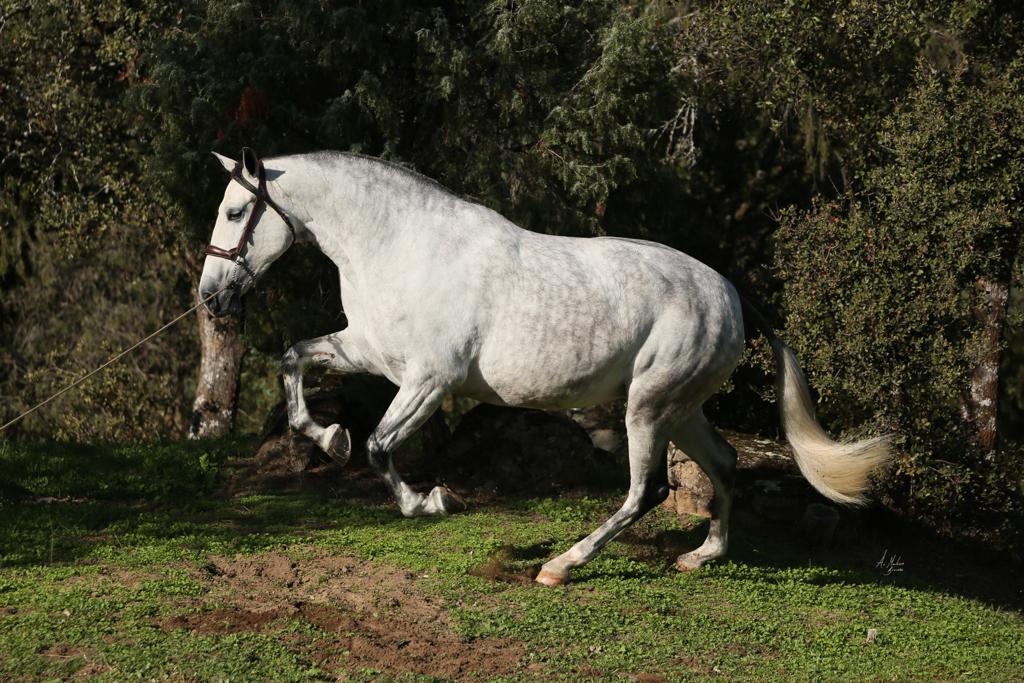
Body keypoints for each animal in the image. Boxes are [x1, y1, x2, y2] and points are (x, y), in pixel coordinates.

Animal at [199, 147, 891, 586]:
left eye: (234, 213)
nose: (211, 299)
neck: (400, 246)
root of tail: (729, 291)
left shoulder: (429, 380)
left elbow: (380, 446)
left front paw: (429, 501)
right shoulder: (367, 351)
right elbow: (295, 360)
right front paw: (328, 437)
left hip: (649, 406)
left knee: (646, 490)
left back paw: (561, 566)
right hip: (681, 407)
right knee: (722, 463)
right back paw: (702, 557)